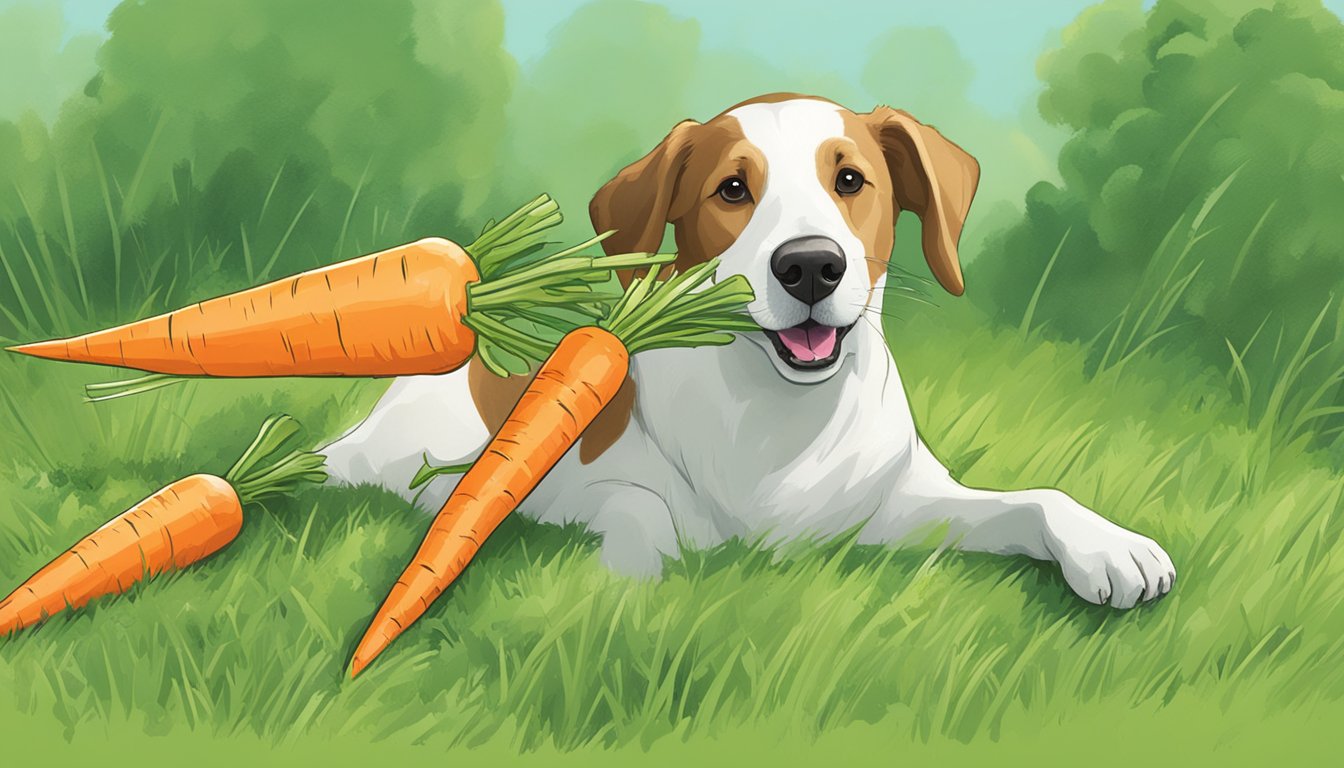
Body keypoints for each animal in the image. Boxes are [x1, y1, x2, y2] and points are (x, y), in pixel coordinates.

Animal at [322, 93, 1177, 610]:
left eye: (850, 180)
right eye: (732, 190)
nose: (810, 266)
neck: (779, 418)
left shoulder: (896, 508)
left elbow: (1034, 498)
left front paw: (1109, 547)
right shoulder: (571, 492)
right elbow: (637, 512)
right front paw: (621, 590)